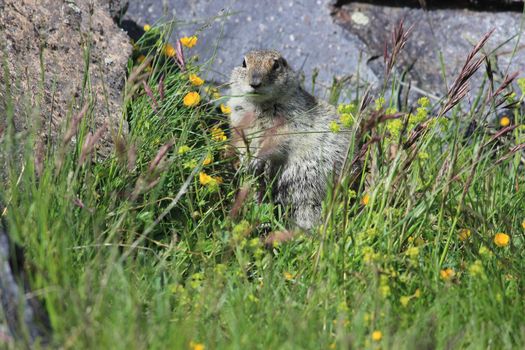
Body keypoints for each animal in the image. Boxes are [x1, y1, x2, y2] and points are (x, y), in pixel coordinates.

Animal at [227, 49, 350, 230]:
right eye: (244, 63)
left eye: (276, 65)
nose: (255, 83)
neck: (260, 105)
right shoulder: (238, 120)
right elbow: (241, 141)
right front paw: (245, 162)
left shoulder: (288, 124)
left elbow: (276, 143)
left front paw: (256, 159)